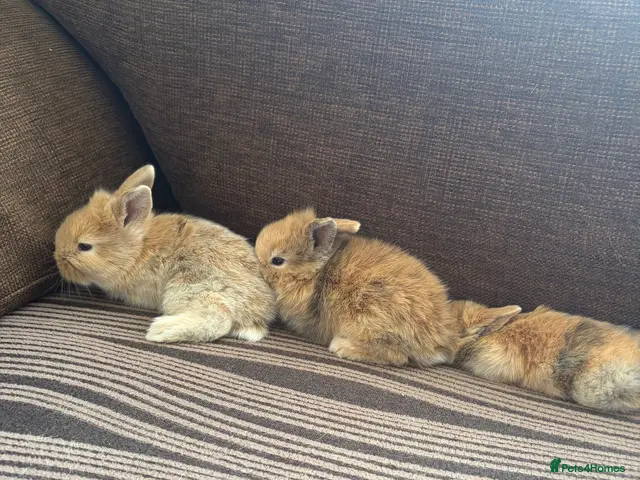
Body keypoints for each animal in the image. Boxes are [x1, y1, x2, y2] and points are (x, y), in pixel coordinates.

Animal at [54, 165, 276, 343]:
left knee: (219, 318)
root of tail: (261, 311)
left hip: (191, 285)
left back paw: (159, 330)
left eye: (84, 246)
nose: (58, 260)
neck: (136, 252)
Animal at [254, 208, 460, 367]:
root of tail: (440, 341)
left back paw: (342, 347)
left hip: (370, 319)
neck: (315, 274)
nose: (258, 266)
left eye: (277, 261)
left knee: (398, 357)